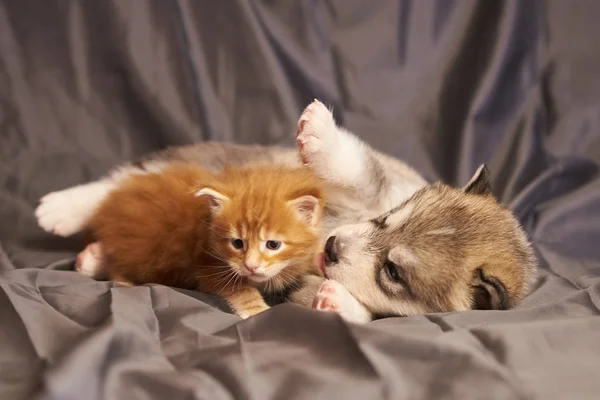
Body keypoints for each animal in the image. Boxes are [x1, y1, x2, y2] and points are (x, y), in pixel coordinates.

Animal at [80, 162, 326, 318]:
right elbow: (242, 291)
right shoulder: (209, 267)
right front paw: (259, 310)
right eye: (237, 243)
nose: (251, 266)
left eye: (273, 245)